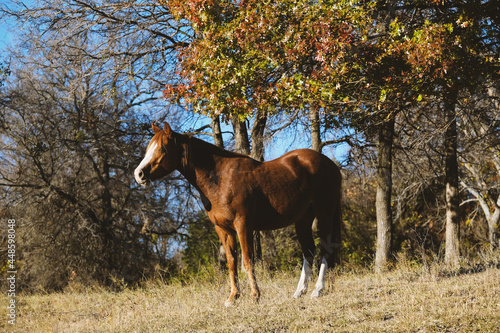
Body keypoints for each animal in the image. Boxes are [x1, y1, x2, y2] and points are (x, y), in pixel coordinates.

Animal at [135, 122, 342, 306]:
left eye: (162, 148)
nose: (139, 174)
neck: (220, 179)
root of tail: (330, 165)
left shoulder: (243, 226)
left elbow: (248, 261)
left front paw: (255, 296)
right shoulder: (223, 229)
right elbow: (231, 262)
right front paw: (233, 298)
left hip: (324, 213)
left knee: (325, 249)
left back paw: (318, 290)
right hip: (303, 220)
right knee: (309, 252)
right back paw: (299, 293)